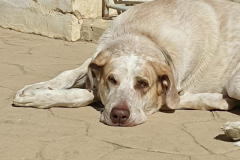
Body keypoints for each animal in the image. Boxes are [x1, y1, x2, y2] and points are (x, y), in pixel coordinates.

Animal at [12, 0, 240, 139]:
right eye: (111, 80)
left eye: (143, 84)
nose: (119, 116)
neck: (142, 35)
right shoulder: (95, 57)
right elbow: (68, 75)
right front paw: (37, 89)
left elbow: (86, 94)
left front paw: (38, 98)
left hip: (233, 83)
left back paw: (232, 128)